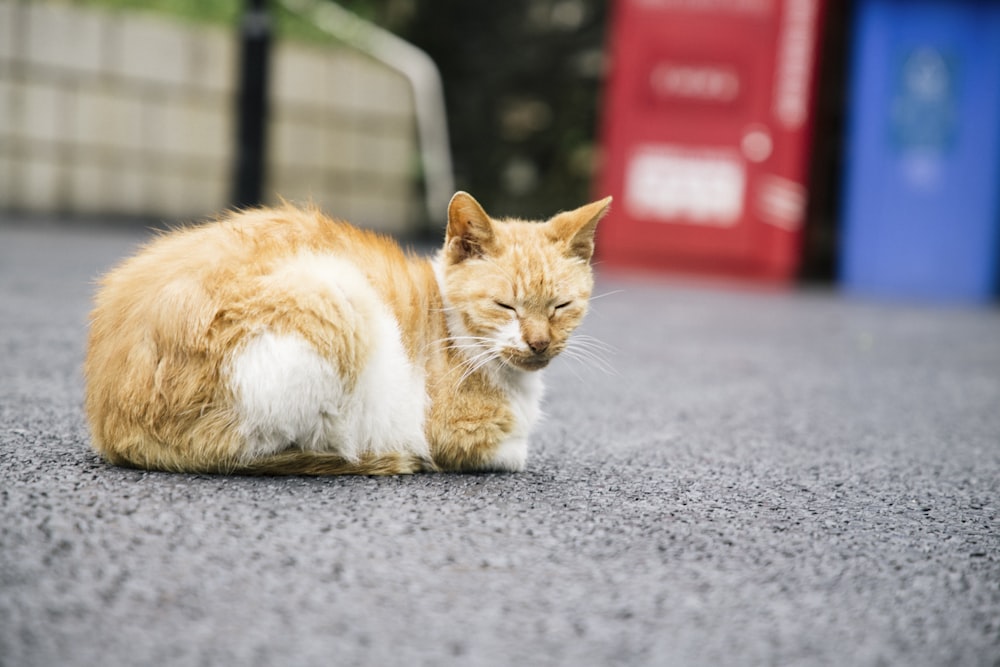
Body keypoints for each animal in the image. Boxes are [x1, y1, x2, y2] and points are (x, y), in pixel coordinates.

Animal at [86, 190, 612, 478]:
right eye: (505, 306)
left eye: (561, 307)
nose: (539, 342)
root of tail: (111, 424)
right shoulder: (463, 435)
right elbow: (510, 451)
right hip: (337, 302)